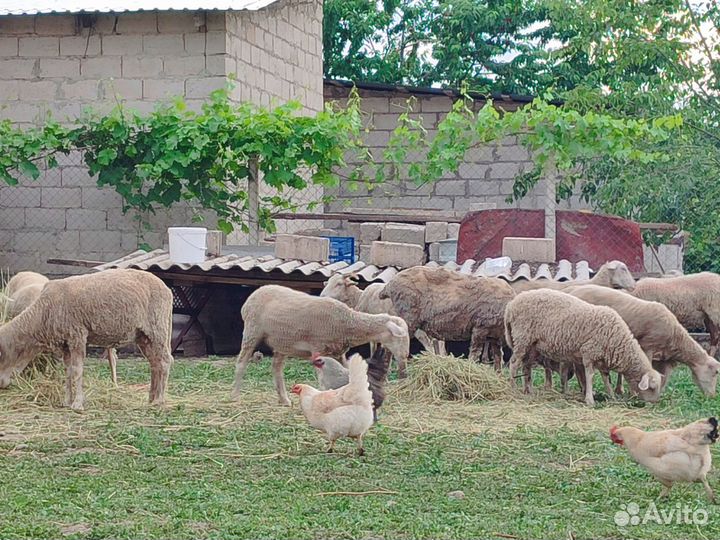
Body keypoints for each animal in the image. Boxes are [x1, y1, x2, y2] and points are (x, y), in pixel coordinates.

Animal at [0, 269, 174, 411]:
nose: (1, 385)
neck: (43, 313)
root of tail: (167, 289)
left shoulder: (77, 335)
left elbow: (77, 371)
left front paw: (77, 404)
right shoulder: (66, 343)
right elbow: (68, 372)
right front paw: (66, 401)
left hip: (157, 328)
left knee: (164, 361)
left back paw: (159, 400)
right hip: (143, 336)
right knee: (155, 363)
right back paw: (151, 398)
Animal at [232, 284, 410, 405]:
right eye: (398, 337)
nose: (404, 358)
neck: (348, 323)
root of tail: (253, 295)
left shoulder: (337, 352)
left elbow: (345, 372)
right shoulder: (318, 349)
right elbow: (323, 379)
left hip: (283, 341)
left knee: (276, 368)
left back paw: (284, 399)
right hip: (252, 331)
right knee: (241, 363)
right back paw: (235, 395)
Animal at [377, 266, 515, 370]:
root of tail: (389, 284)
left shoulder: (495, 336)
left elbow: (498, 357)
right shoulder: (480, 329)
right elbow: (475, 353)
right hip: (407, 317)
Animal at [504, 289, 663, 406]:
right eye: (652, 387)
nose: (655, 403)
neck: (617, 339)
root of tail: (511, 305)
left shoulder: (602, 358)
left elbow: (606, 379)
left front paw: (611, 396)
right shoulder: (589, 353)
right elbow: (590, 376)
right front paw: (589, 399)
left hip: (532, 345)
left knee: (526, 366)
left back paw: (528, 390)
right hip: (522, 337)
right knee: (514, 363)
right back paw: (513, 387)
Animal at [566, 284, 720, 396]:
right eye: (715, 373)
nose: (712, 397)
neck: (676, 337)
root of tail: (573, 291)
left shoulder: (664, 359)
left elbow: (663, 377)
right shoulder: (647, 346)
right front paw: (634, 393)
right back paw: (584, 388)